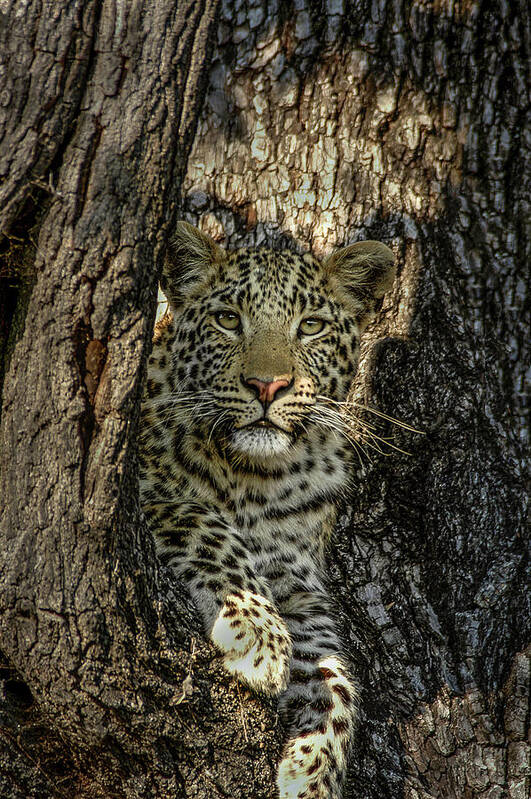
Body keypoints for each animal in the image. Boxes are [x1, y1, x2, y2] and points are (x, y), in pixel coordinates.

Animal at [137, 222, 394, 799]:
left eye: (311, 326)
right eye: (229, 319)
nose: (267, 386)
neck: (256, 476)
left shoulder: (298, 582)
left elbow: (336, 673)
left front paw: (314, 774)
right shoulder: (148, 497)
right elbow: (206, 524)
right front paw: (259, 640)